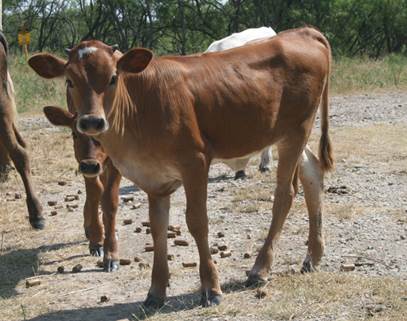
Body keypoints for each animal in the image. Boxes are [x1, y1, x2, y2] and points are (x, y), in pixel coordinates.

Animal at [43, 105, 122, 270]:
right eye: (74, 134)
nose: (90, 166)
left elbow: (109, 198)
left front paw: (111, 253)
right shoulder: (82, 161)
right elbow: (95, 192)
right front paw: (97, 241)